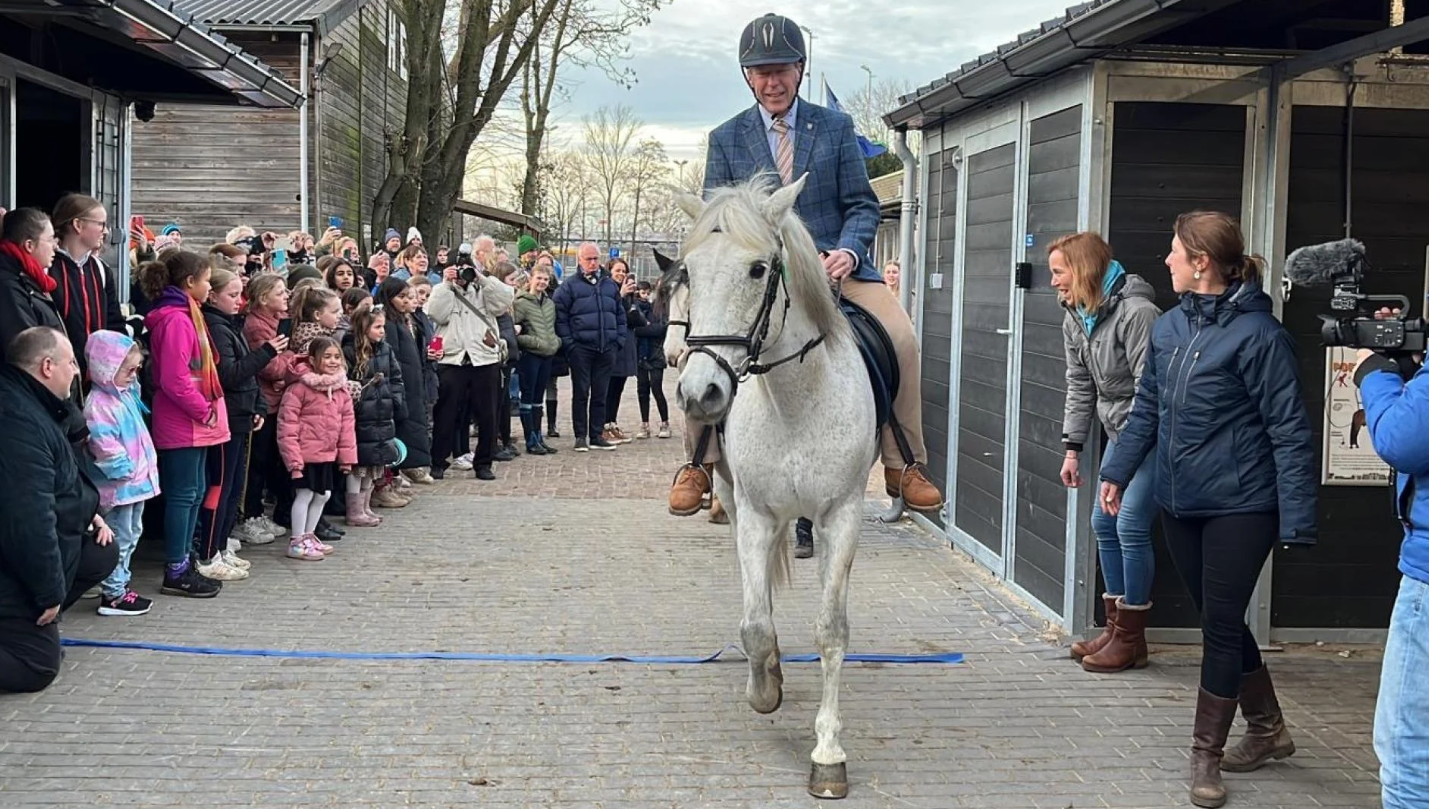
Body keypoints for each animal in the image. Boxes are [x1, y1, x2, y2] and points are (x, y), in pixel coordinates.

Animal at [660, 173, 870, 796]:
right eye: (689, 273)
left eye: (759, 270)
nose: (699, 391)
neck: (795, 402)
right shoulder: (754, 513)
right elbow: (754, 623)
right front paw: (765, 687)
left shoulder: (842, 517)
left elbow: (831, 630)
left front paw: (828, 754)